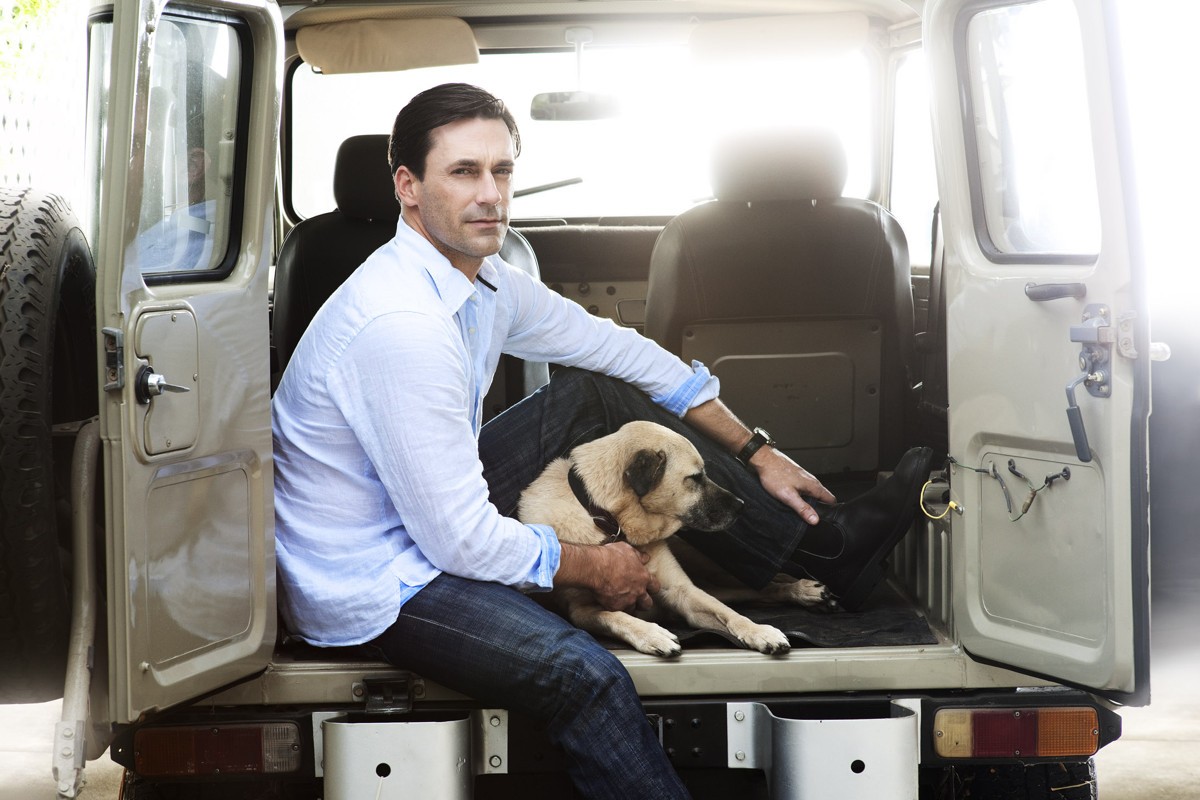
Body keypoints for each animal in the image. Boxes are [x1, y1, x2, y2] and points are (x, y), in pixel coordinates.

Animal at [517, 420, 828, 657]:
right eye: (695, 477)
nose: (741, 506)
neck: (610, 521)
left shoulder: (682, 592)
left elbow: (731, 615)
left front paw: (759, 631)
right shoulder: (581, 610)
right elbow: (616, 616)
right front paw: (652, 634)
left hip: (708, 577)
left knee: (754, 590)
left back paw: (803, 590)